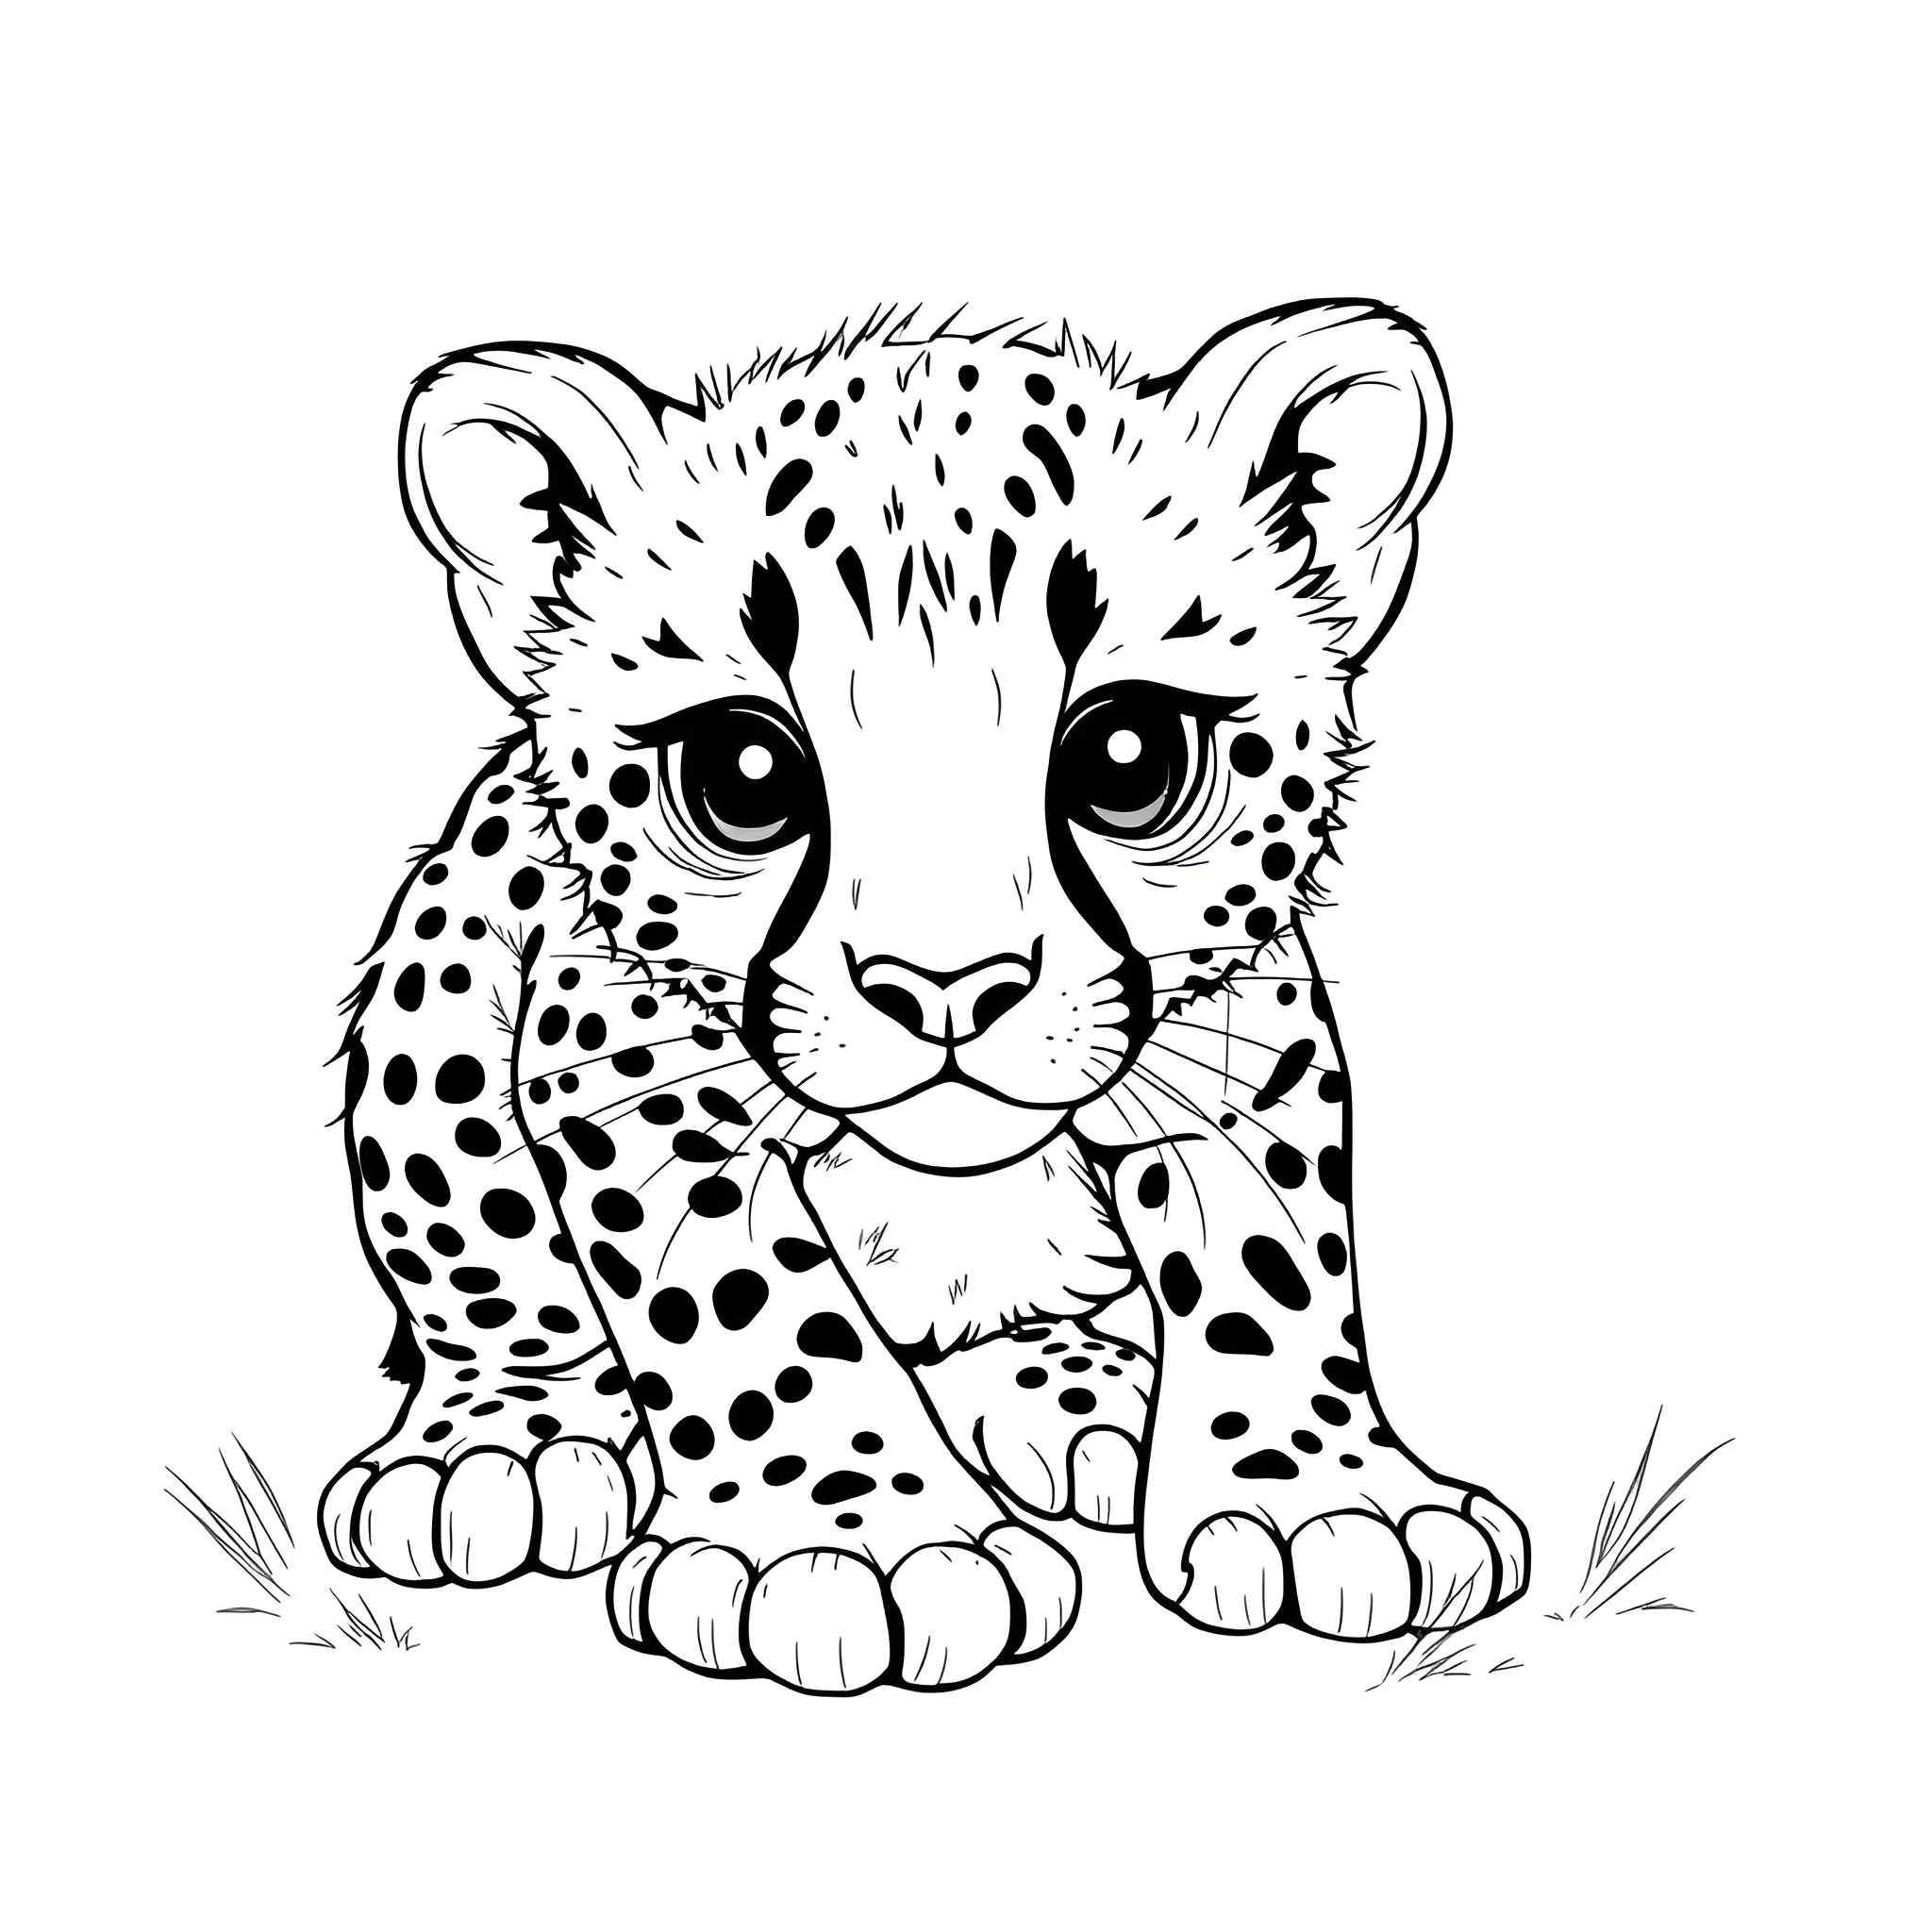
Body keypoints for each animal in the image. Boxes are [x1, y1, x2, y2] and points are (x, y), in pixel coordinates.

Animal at [321, 300, 1528, 1693]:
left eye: (1131, 756)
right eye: (741, 772)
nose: (945, 987)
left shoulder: (1239, 1031)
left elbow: (1270, 1255)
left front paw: (1321, 1495)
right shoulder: (627, 1071)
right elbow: (757, 1306)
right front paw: (854, 1544)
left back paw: (1087, 1397)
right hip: (436, 1028)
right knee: (488, 1287)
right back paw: (502, 1437)